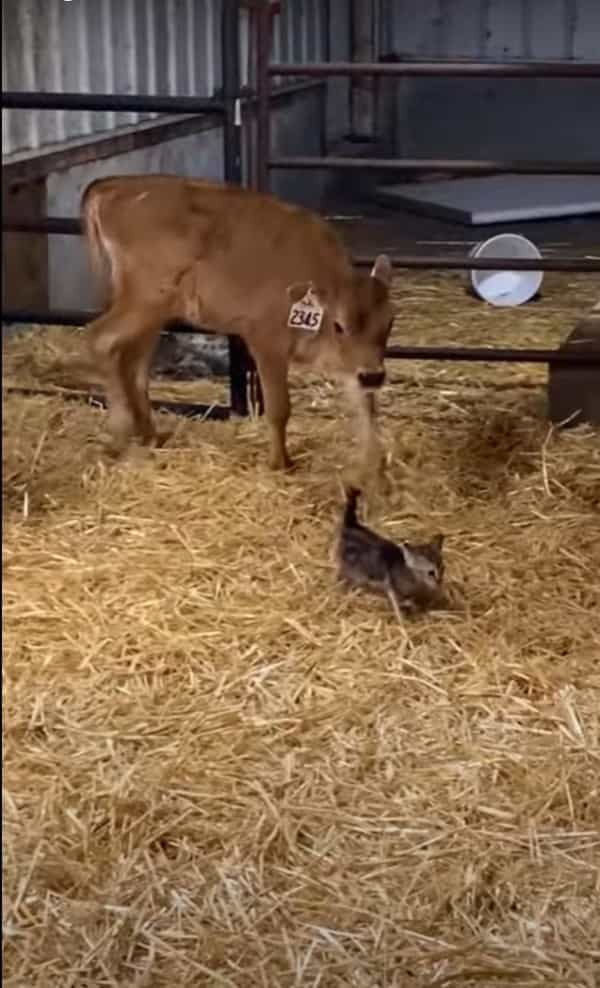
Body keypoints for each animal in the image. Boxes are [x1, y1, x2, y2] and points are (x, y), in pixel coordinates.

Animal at [81, 174, 398, 470]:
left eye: (389, 322)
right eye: (339, 325)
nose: (374, 376)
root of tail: (113, 186)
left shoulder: (353, 365)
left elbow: (366, 408)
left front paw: (374, 466)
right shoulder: (266, 343)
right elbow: (279, 408)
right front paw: (280, 463)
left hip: (153, 315)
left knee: (133, 366)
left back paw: (150, 435)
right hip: (143, 302)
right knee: (101, 340)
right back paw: (119, 433)